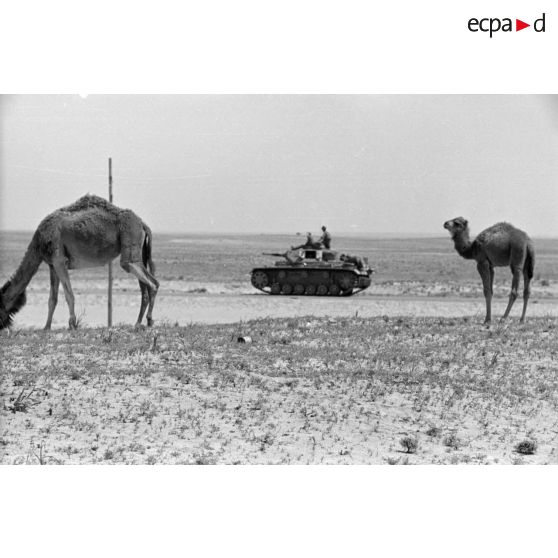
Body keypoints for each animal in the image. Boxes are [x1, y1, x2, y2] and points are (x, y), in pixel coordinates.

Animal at [0, 195, 160, 330]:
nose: (2, 326)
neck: (39, 243)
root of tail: (142, 223)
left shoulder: (59, 260)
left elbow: (69, 295)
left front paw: (72, 324)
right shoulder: (52, 265)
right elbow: (52, 299)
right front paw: (46, 327)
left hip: (130, 239)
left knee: (151, 282)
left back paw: (146, 321)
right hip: (138, 252)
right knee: (146, 286)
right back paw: (141, 322)